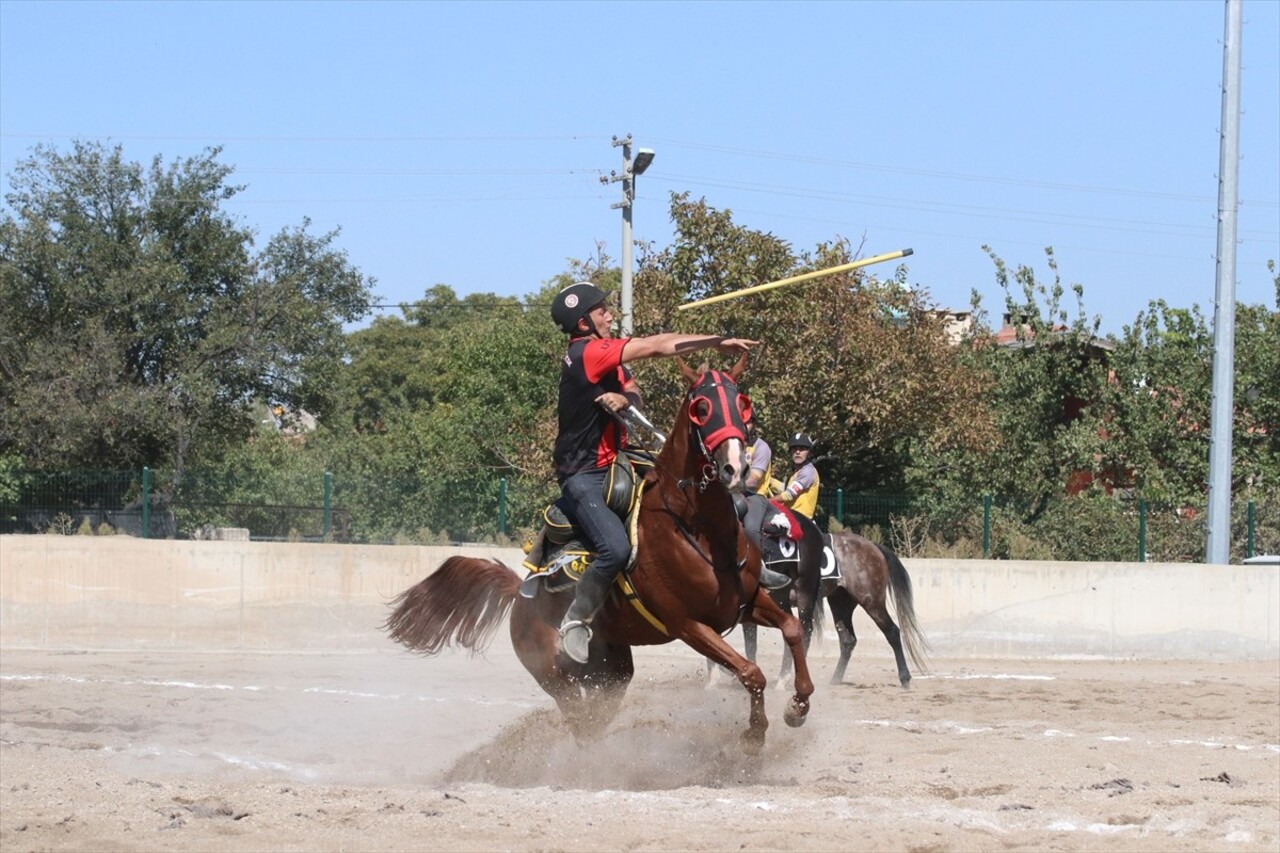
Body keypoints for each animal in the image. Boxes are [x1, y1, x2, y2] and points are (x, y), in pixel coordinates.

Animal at [384, 356, 814, 753]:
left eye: (742, 402)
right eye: (701, 407)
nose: (735, 468)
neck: (697, 531)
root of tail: (520, 594)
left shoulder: (748, 601)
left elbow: (792, 630)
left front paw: (798, 705)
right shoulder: (690, 626)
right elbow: (751, 671)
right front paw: (755, 735)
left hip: (611, 673)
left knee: (594, 720)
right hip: (557, 678)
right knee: (580, 722)